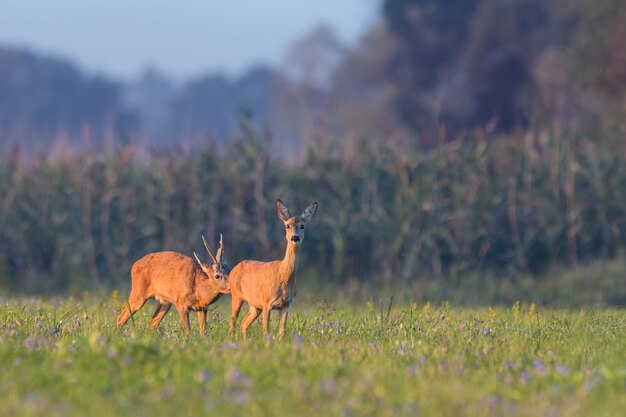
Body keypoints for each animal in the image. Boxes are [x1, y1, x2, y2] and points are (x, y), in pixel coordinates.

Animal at [227, 200, 316, 340]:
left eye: (302, 226)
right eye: (287, 225)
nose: (295, 237)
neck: (283, 277)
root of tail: (233, 270)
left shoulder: (286, 304)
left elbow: (282, 331)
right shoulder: (266, 302)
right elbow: (266, 329)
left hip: (254, 306)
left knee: (244, 322)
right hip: (236, 296)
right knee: (233, 321)